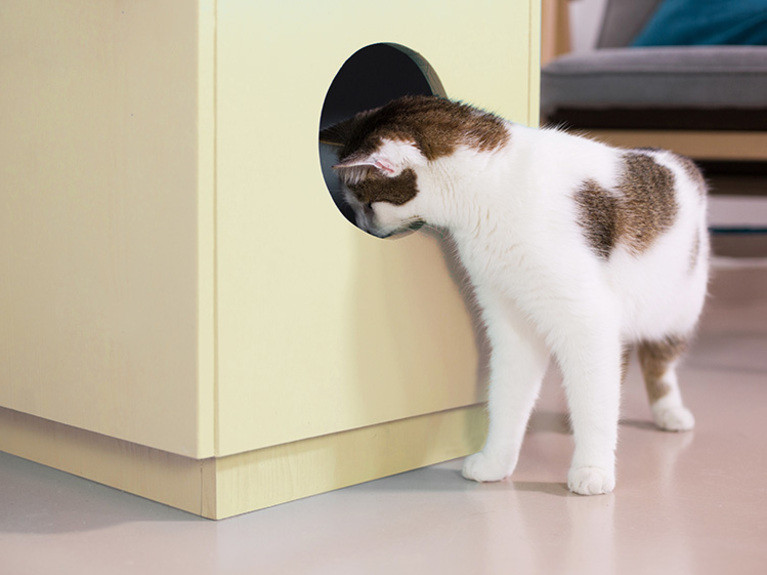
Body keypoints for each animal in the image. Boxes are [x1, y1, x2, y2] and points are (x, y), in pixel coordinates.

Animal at [320, 95, 712, 496]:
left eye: (368, 204)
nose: (365, 229)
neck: (493, 187)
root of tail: (677, 160)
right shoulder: (511, 319)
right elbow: (509, 397)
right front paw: (496, 463)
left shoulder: (587, 320)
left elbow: (596, 397)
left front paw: (593, 469)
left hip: (678, 310)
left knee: (658, 364)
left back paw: (670, 413)